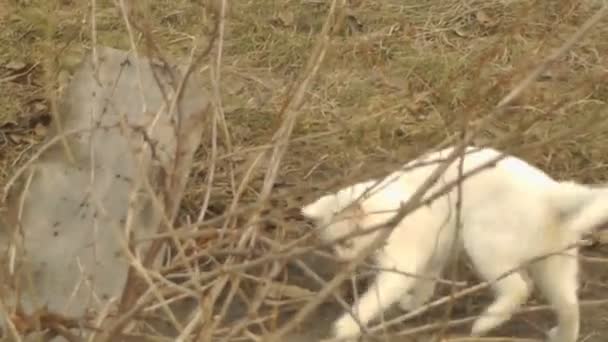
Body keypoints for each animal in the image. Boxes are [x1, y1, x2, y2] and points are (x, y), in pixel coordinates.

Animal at [300, 146, 608, 342]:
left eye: (347, 243)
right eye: (334, 246)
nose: (343, 260)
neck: (391, 206)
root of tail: (553, 192)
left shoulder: (403, 263)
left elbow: (374, 298)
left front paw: (346, 327)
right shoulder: (434, 254)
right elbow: (426, 283)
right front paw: (414, 304)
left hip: (483, 244)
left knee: (520, 288)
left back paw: (483, 324)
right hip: (555, 266)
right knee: (569, 305)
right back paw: (562, 336)